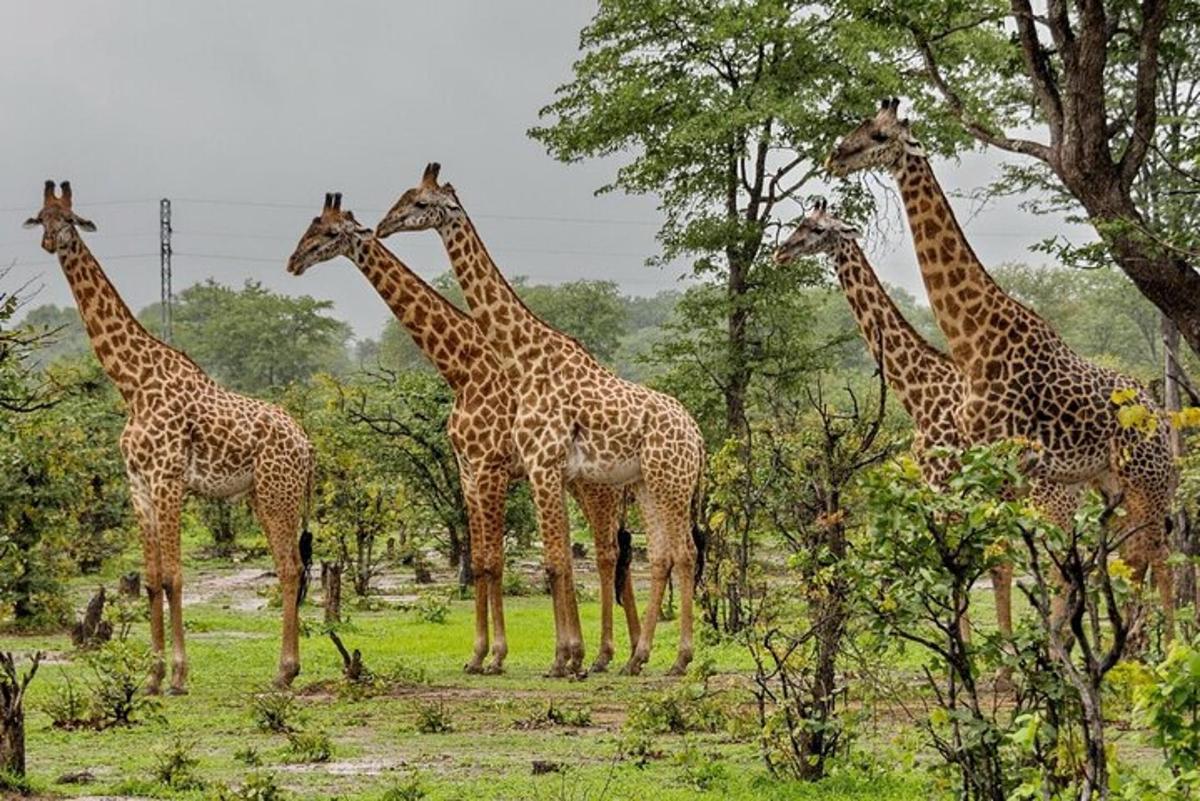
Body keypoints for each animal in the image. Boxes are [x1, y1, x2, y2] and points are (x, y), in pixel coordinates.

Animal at [25, 179, 314, 690]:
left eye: (70, 220)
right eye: (41, 218)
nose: (49, 242)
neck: (132, 383)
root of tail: (307, 444)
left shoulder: (168, 478)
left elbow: (175, 577)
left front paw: (178, 675)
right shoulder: (138, 484)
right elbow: (151, 578)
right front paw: (153, 676)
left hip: (279, 491)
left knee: (290, 568)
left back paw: (284, 672)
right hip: (262, 494)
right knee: (289, 567)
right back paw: (285, 670)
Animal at [284, 195, 643, 676]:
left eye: (328, 232)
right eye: (311, 226)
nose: (294, 261)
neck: (462, 366)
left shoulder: (491, 467)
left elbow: (495, 561)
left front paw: (498, 655)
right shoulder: (468, 469)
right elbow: (483, 563)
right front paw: (482, 655)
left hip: (596, 486)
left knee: (606, 553)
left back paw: (610, 654)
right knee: (611, 553)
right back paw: (624, 653)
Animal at [379, 164, 705, 676]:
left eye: (420, 203)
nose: (383, 225)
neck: (526, 357)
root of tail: (698, 435)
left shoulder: (534, 464)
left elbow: (550, 561)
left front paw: (557, 660)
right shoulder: (532, 468)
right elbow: (548, 559)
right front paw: (563, 657)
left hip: (667, 483)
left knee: (677, 553)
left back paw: (672, 659)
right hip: (649, 484)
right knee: (661, 555)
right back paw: (639, 657)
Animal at [830, 100, 1176, 633]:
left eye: (879, 135)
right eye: (861, 127)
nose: (835, 157)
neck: (975, 340)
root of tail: (1158, 413)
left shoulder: (1002, 459)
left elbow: (1000, 557)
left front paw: (1009, 651)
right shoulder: (978, 464)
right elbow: (989, 556)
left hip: (1144, 477)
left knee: (1154, 554)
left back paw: (1161, 644)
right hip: (1109, 483)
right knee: (1133, 554)